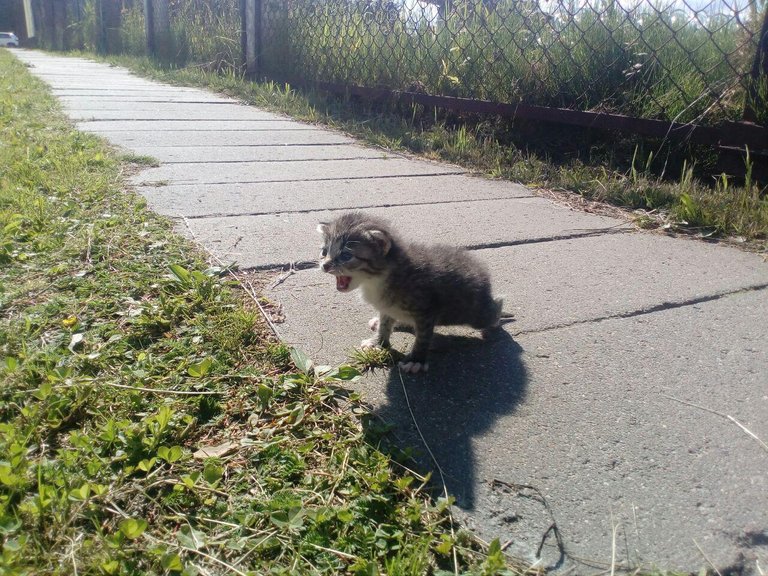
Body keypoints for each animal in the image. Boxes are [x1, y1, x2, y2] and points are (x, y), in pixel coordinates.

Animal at [318, 212, 504, 374]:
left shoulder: (427, 309)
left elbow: (422, 337)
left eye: (346, 255)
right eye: (324, 252)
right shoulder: (386, 306)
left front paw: (416, 360)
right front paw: (379, 342)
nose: (325, 265)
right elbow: (385, 324)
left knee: (492, 312)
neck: (378, 279)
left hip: (475, 313)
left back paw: (498, 312)